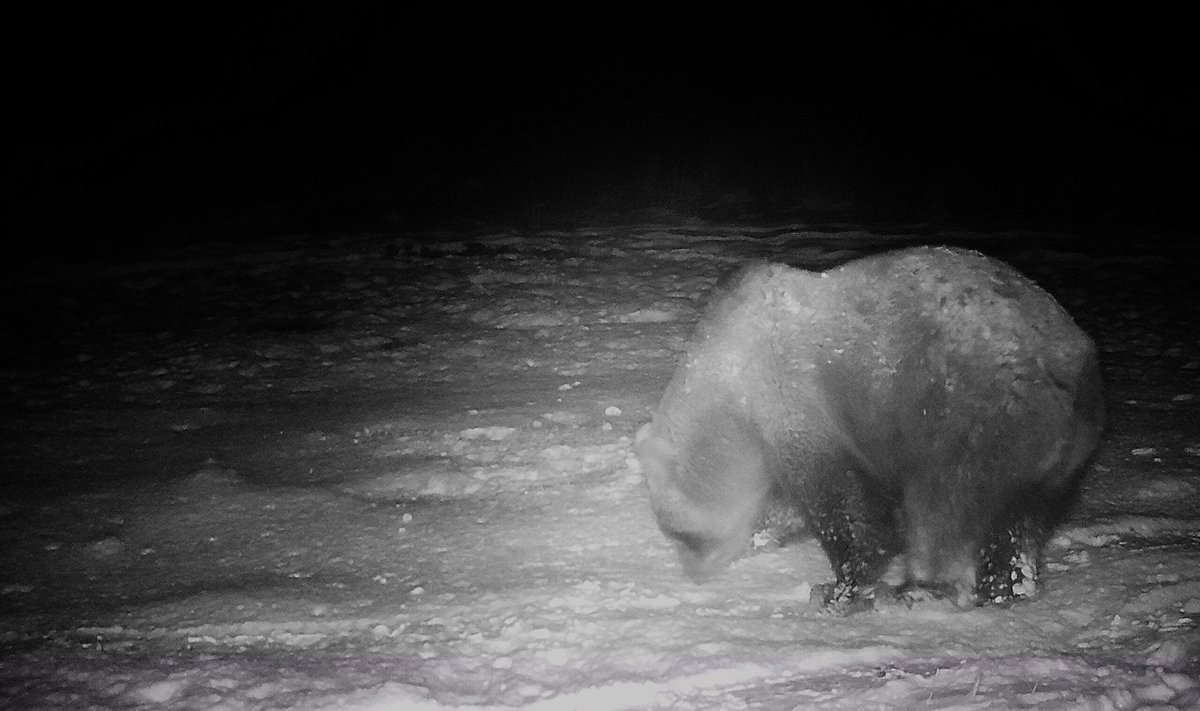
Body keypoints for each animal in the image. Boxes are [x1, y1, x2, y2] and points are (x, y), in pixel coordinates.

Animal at [638, 245, 1104, 610]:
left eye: (680, 532)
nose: (693, 574)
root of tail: (1078, 364)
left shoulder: (794, 398)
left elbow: (839, 501)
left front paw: (839, 588)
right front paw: (766, 533)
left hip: (978, 414)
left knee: (945, 505)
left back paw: (919, 587)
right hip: (1053, 450)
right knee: (1020, 519)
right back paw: (1007, 587)